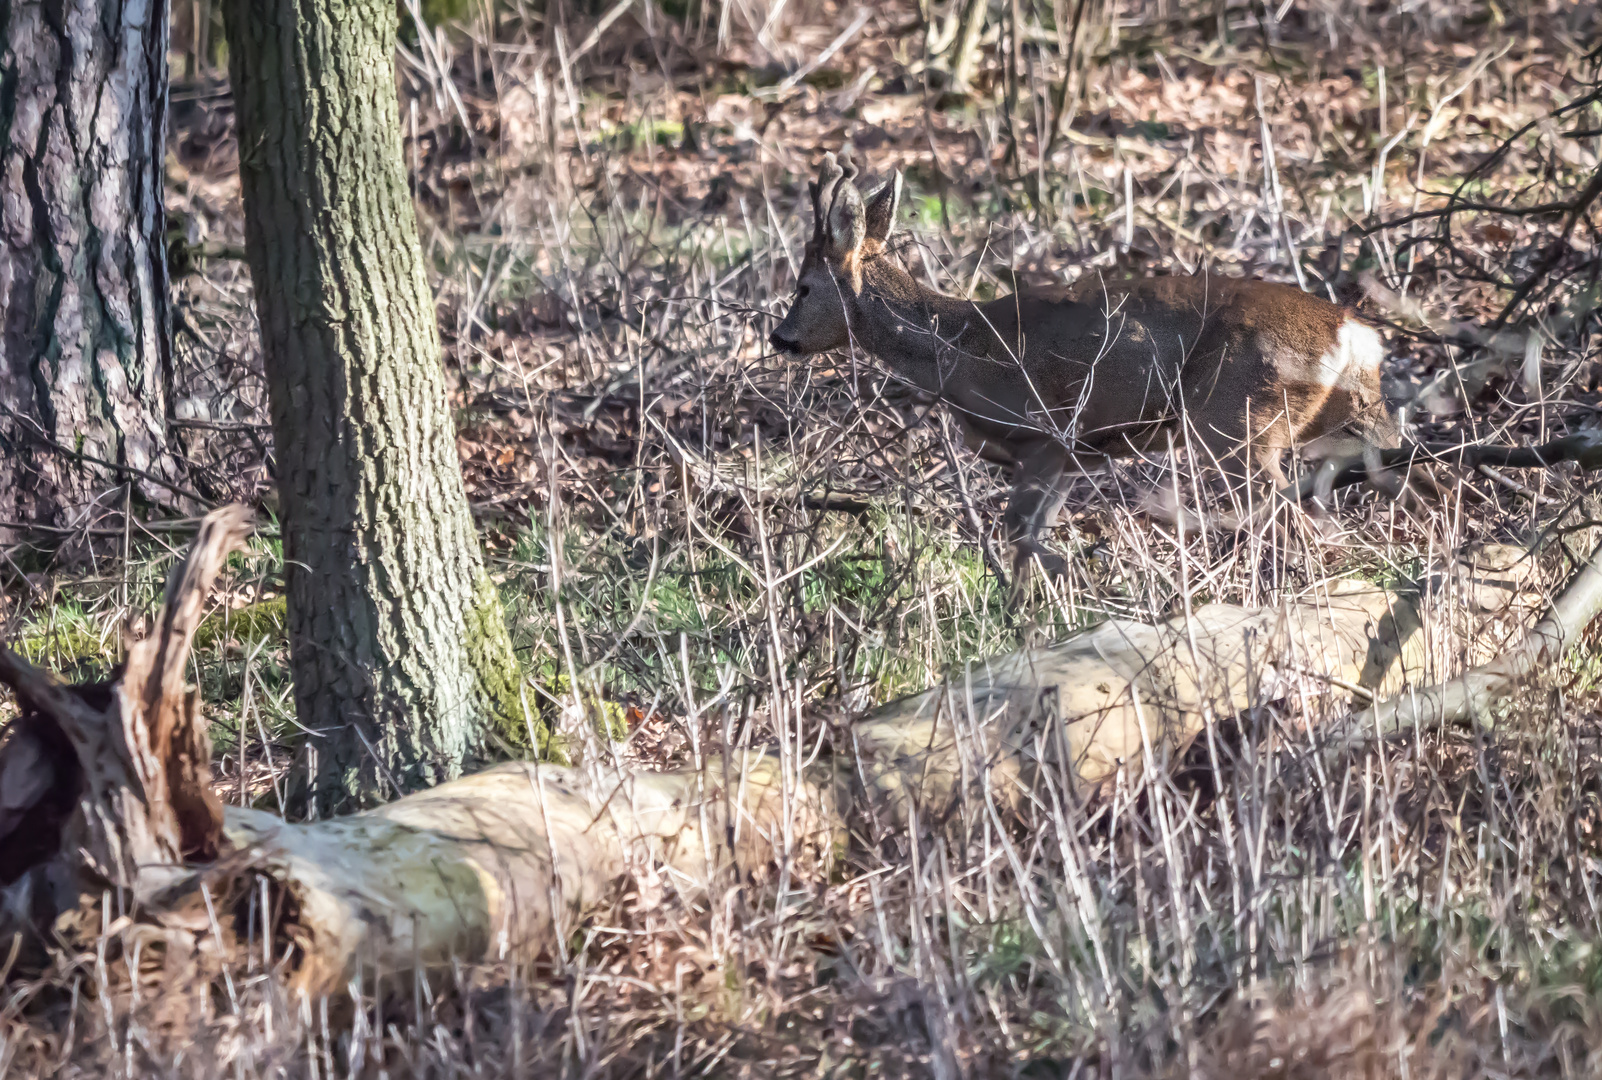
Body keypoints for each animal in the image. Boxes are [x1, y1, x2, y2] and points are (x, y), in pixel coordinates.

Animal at [768, 152, 1396, 576]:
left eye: (803, 287)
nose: (780, 338)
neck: (959, 350)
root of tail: (1355, 334)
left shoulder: (1042, 435)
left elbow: (1019, 534)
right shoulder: (1072, 456)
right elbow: (1028, 536)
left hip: (1238, 418)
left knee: (1291, 516)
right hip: (1331, 419)